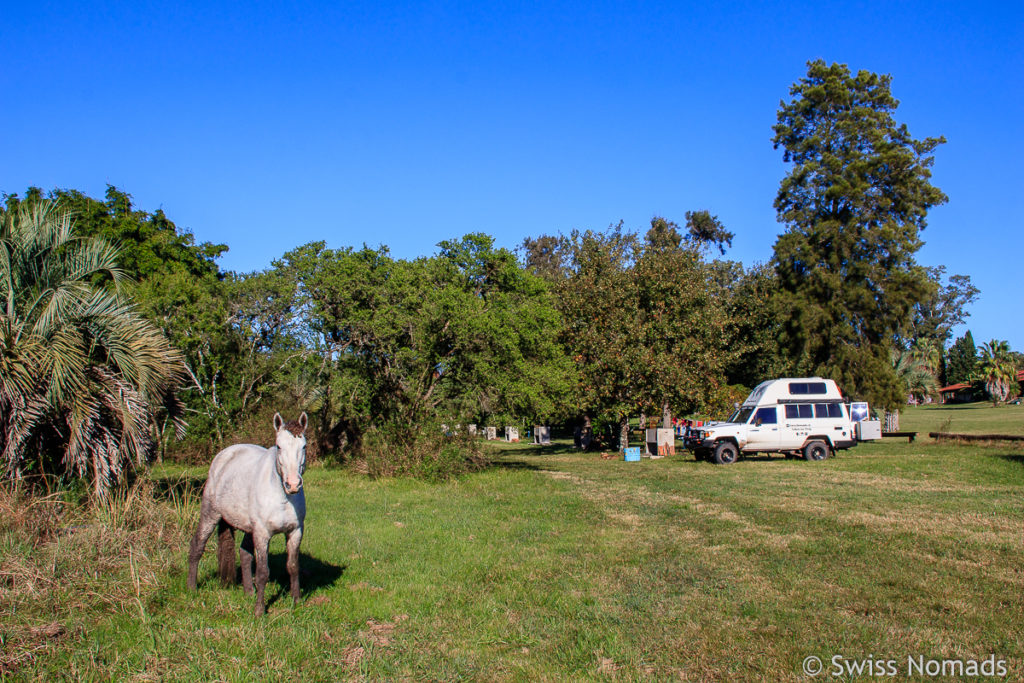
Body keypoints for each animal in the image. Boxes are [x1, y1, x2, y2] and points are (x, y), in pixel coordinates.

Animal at [188, 413, 307, 618]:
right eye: (279, 446)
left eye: (304, 446)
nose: (292, 484)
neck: (283, 498)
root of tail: (224, 455)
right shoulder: (262, 534)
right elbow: (262, 572)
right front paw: (259, 611)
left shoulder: (295, 531)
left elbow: (292, 566)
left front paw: (296, 601)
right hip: (210, 514)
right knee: (197, 545)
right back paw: (192, 588)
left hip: (248, 527)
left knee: (244, 553)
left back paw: (249, 592)